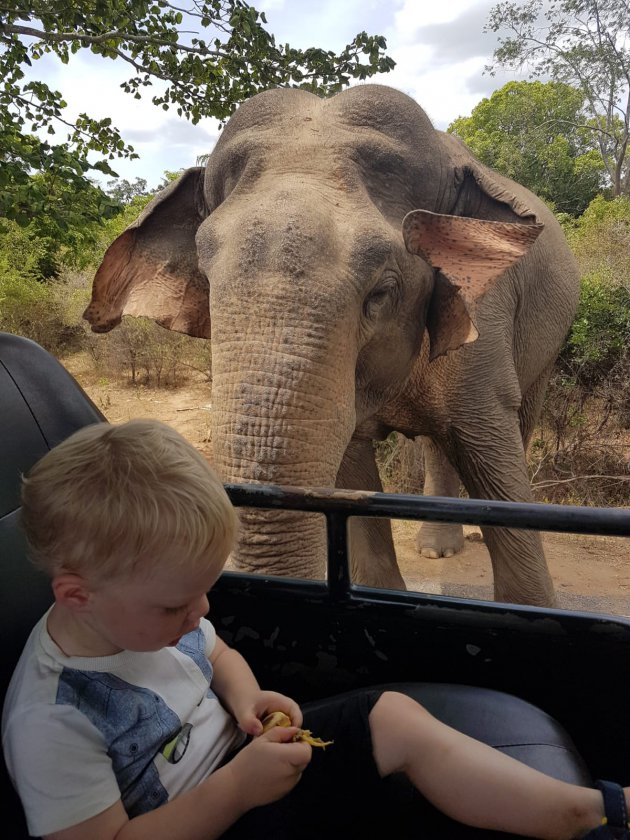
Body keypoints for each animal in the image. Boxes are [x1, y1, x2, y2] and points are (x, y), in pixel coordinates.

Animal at [85, 83, 584, 604]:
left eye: (381, 292)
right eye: (204, 277)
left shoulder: (486, 314)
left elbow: (493, 460)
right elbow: (351, 466)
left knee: (516, 418)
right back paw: (435, 550)